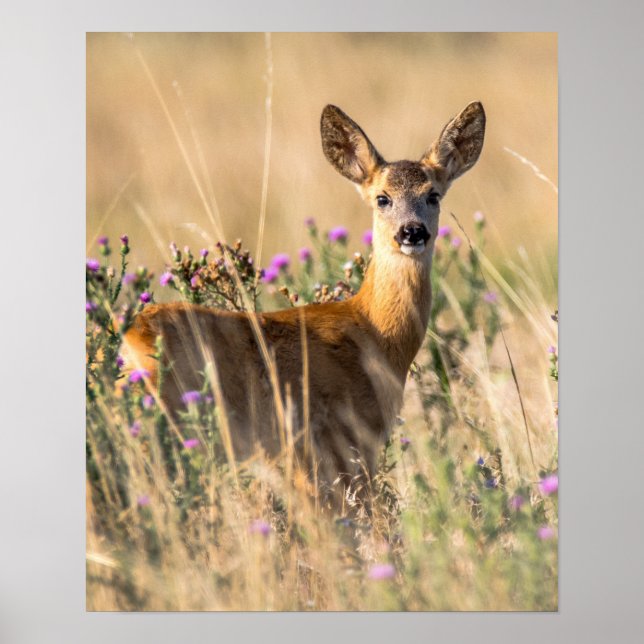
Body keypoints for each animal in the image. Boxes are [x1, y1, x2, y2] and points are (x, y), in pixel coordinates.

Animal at [123, 101, 486, 508]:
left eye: (433, 195)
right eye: (382, 198)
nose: (412, 232)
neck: (375, 333)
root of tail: (129, 340)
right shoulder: (341, 438)